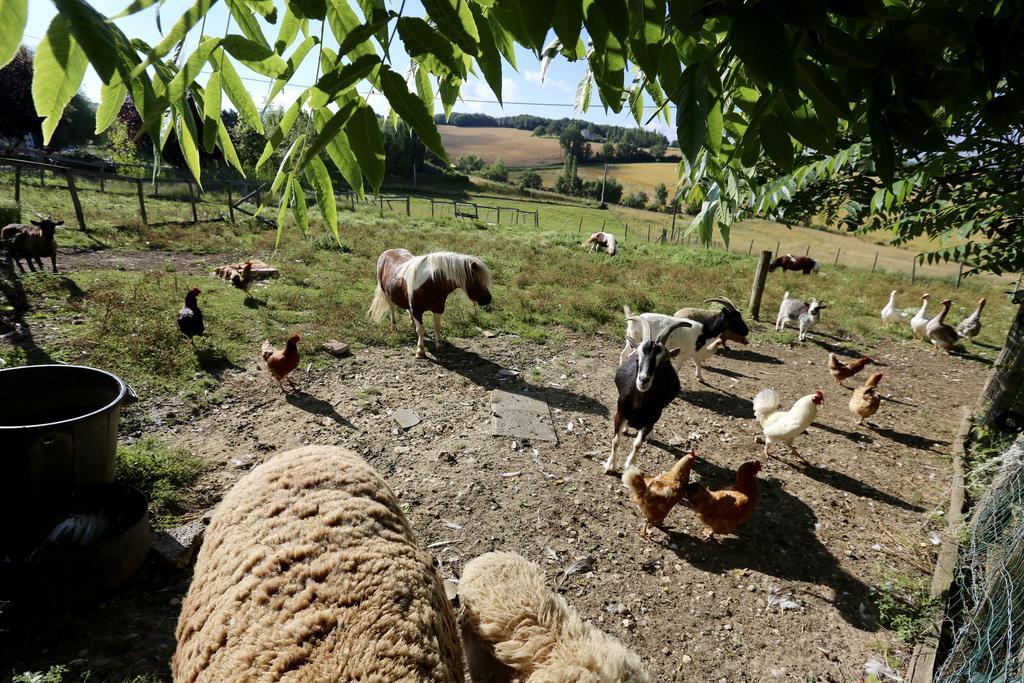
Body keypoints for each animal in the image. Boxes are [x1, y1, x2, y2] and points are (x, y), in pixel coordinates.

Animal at [602, 317, 692, 473]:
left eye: (661, 360)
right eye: (637, 356)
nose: (644, 380)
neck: (638, 404)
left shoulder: (651, 419)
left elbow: (638, 443)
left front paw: (630, 463)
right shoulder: (620, 413)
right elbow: (616, 440)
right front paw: (611, 465)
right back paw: (626, 428)